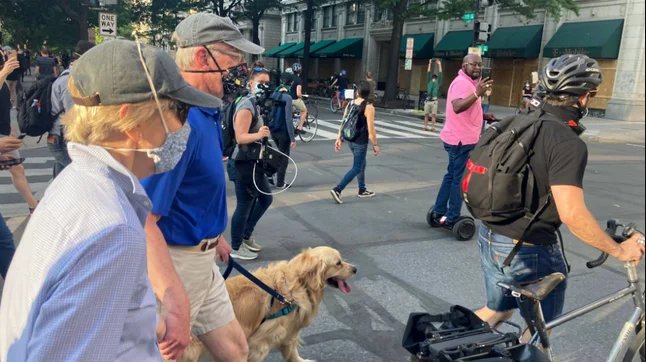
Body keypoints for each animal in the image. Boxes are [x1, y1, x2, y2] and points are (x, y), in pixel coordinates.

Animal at [180, 246, 356, 362]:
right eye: (338, 263)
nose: (355, 269)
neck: (298, 283)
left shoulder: (289, 331)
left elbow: (291, 352)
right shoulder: (259, 343)